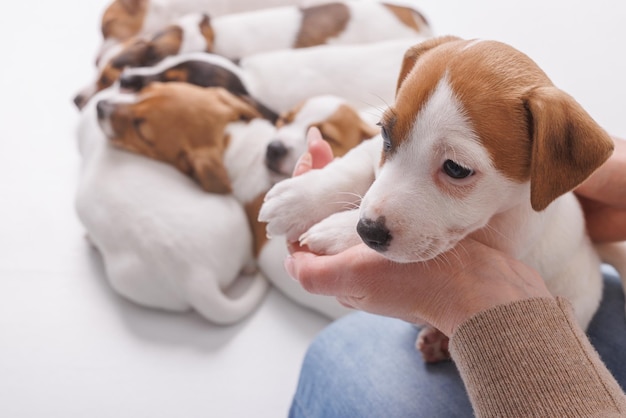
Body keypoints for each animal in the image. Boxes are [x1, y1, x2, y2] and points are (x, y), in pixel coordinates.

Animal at [258, 36, 624, 362]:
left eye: (456, 168)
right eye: (386, 134)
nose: (366, 231)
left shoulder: (500, 239)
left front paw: (337, 230)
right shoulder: (371, 154)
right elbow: (349, 168)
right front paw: (298, 198)